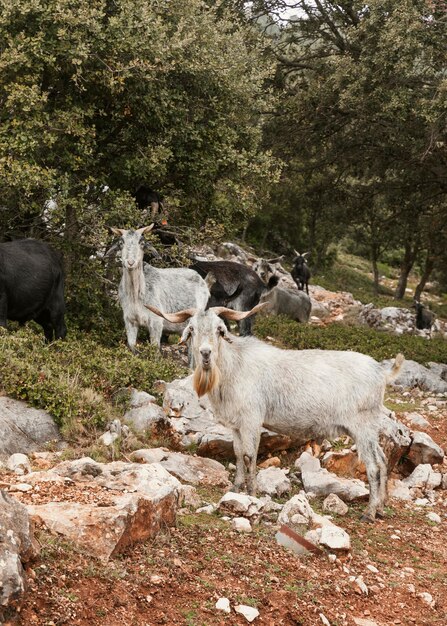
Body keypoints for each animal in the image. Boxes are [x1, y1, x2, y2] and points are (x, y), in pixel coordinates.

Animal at [112, 224, 210, 352]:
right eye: (121, 242)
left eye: (142, 243)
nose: (130, 262)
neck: (137, 294)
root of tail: (201, 280)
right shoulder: (130, 321)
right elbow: (132, 346)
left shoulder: (156, 322)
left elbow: (155, 349)